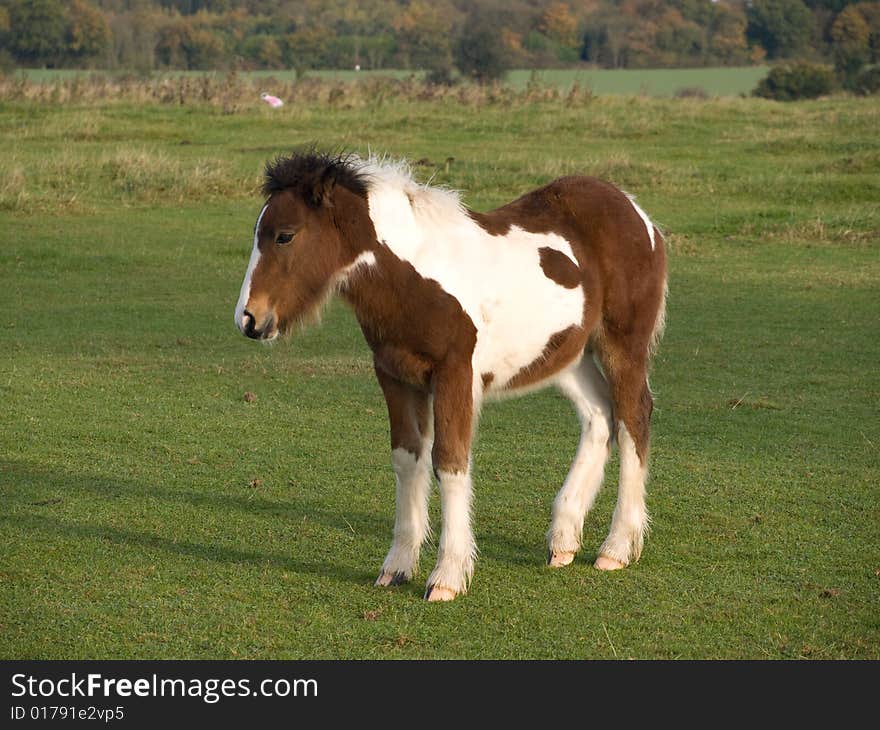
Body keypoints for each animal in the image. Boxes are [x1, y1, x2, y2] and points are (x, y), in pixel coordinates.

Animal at [234, 151, 668, 600]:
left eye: (285, 236)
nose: (249, 319)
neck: (414, 279)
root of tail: (637, 213)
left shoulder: (454, 375)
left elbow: (450, 462)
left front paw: (448, 575)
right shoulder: (394, 375)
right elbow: (406, 458)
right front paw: (397, 567)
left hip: (622, 345)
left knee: (632, 418)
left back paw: (617, 548)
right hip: (566, 355)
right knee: (599, 415)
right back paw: (564, 539)